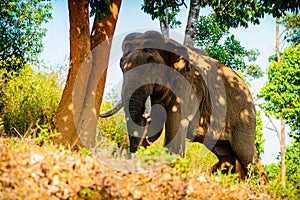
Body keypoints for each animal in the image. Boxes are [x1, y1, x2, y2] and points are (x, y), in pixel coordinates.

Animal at [100, 30, 255, 177]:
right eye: (121, 66)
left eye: (152, 65)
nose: (145, 118)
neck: (170, 43)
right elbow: (157, 125)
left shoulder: (187, 85)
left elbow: (176, 122)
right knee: (227, 156)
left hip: (244, 119)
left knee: (246, 155)